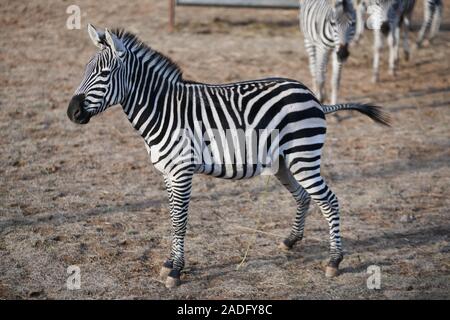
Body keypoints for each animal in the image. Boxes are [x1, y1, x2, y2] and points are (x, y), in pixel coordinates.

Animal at [67, 25, 390, 288]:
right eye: (84, 70)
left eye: (104, 74)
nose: (72, 112)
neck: (163, 110)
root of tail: (313, 98)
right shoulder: (168, 174)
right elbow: (172, 218)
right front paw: (170, 263)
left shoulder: (182, 171)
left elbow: (180, 220)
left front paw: (176, 271)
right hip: (283, 163)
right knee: (303, 196)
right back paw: (290, 241)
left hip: (303, 157)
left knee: (329, 200)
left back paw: (334, 261)